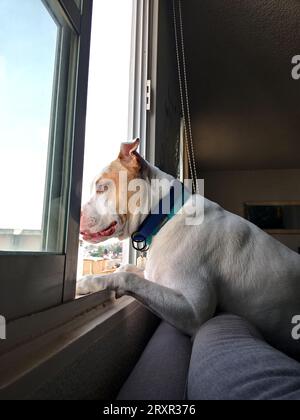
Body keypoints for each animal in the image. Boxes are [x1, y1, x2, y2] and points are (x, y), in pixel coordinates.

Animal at [78, 139, 300, 360]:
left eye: (102, 188)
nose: (77, 215)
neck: (165, 216)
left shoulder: (194, 311)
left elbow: (127, 277)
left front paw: (89, 282)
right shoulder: (155, 277)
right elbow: (128, 269)